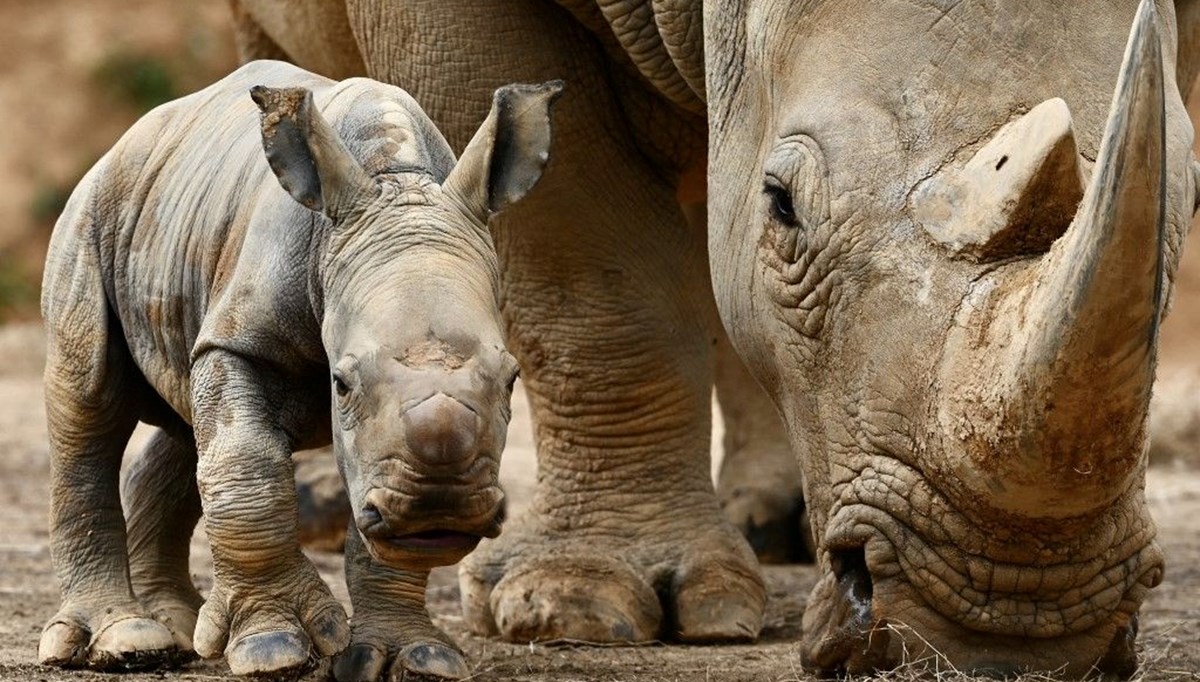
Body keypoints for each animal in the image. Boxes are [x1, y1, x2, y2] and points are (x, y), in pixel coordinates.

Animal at [38, 61, 561, 677]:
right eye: (341, 384)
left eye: (511, 381)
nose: (440, 510)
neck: (398, 184)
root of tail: (126, 140)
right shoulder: (241, 339)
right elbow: (247, 462)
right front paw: (273, 647)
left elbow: (359, 505)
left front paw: (415, 657)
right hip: (93, 212)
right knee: (89, 401)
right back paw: (121, 642)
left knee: (189, 422)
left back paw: (174, 630)